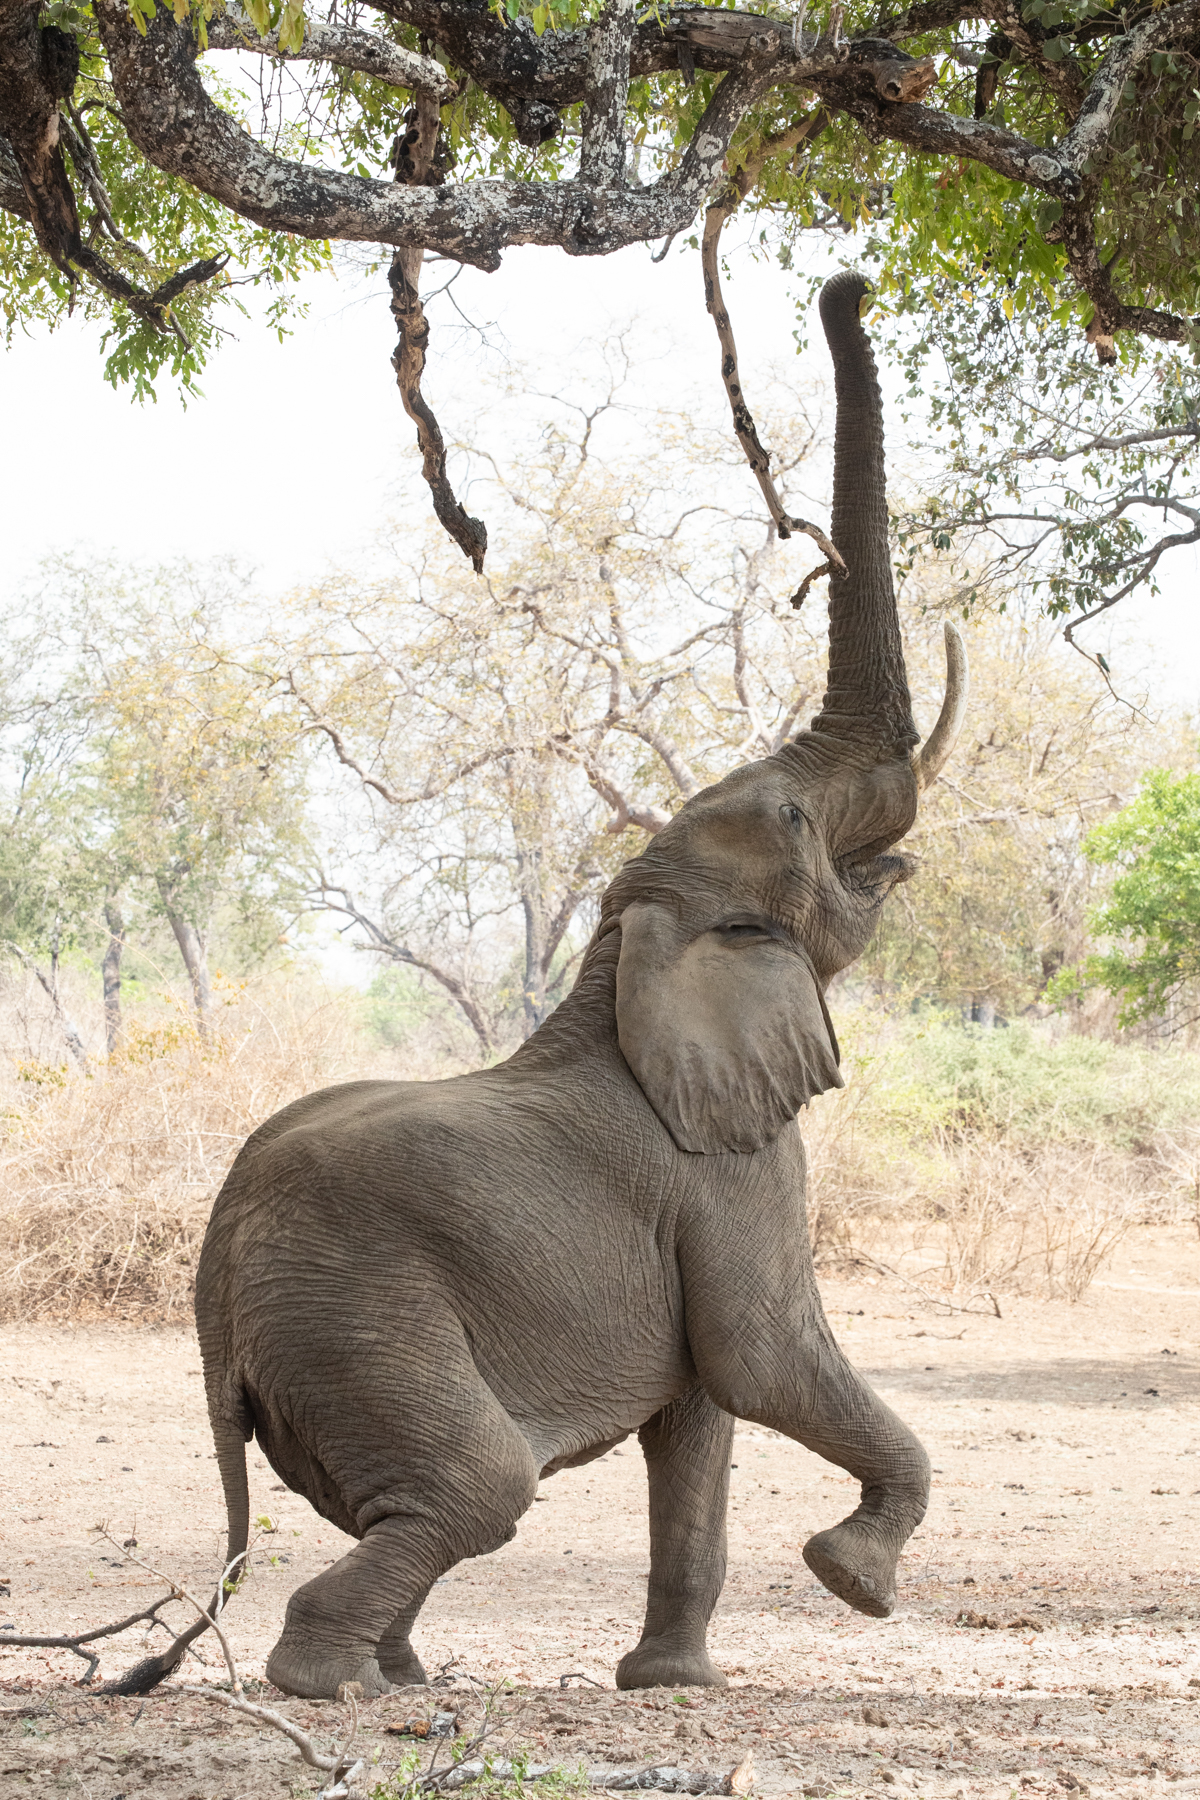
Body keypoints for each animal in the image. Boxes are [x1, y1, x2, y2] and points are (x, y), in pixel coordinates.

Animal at [114, 268, 968, 1703]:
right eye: (797, 819)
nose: (842, 285)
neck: (633, 949)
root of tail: (217, 1271)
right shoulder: (737, 1169)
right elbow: (766, 1360)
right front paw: (854, 1576)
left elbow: (704, 1420)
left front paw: (673, 1687)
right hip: (357, 1313)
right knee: (479, 1486)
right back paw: (340, 1687)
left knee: (414, 1503)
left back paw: (403, 1673)